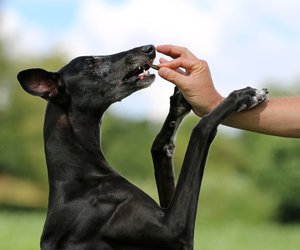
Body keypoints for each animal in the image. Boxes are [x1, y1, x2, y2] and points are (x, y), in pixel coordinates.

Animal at [17, 45, 268, 250]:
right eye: (91, 63)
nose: (149, 48)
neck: (81, 172)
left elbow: (159, 147)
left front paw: (179, 103)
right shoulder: (173, 230)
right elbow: (201, 129)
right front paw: (243, 96)